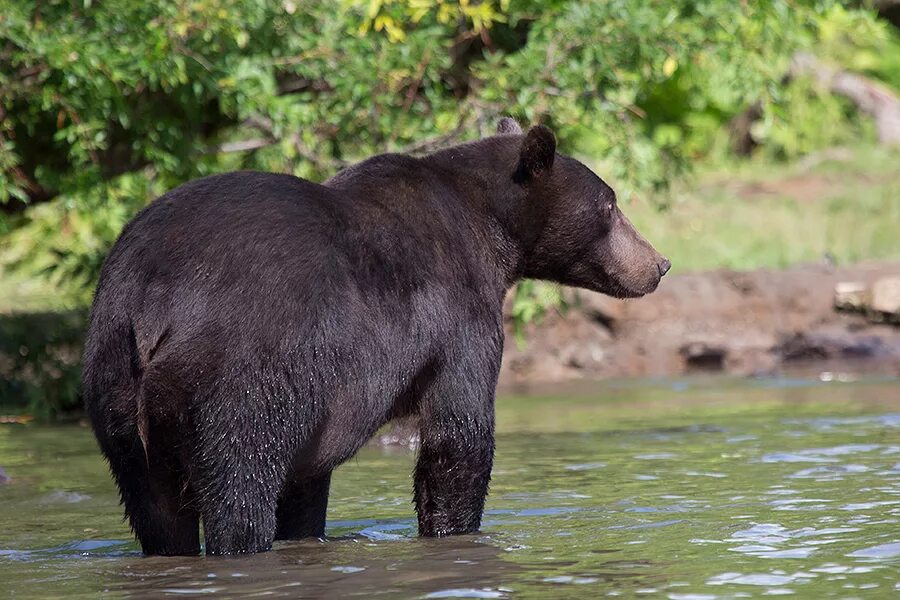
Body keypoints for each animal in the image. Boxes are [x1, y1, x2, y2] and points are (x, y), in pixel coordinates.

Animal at [82, 118, 668, 556]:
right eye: (611, 204)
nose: (659, 263)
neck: (490, 229)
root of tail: (155, 308)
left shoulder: (319, 404)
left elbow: (306, 482)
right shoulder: (457, 310)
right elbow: (459, 432)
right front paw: (455, 530)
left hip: (114, 384)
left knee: (154, 508)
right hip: (239, 372)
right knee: (240, 482)